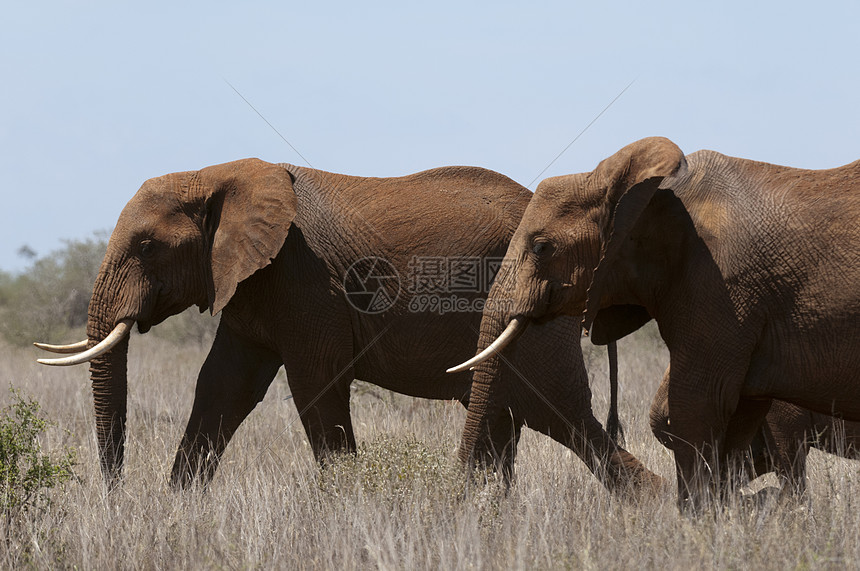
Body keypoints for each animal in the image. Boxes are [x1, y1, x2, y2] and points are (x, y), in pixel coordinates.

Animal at [37, 159, 660, 494]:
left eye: (145, 246)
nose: (117, 496)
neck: (215, 173)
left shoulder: (305, 279)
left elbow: (316, 386)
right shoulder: (252, 286)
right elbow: (222, 388)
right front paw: (177, 507)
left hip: (538, 319)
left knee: (558, 412)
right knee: (520, 417)